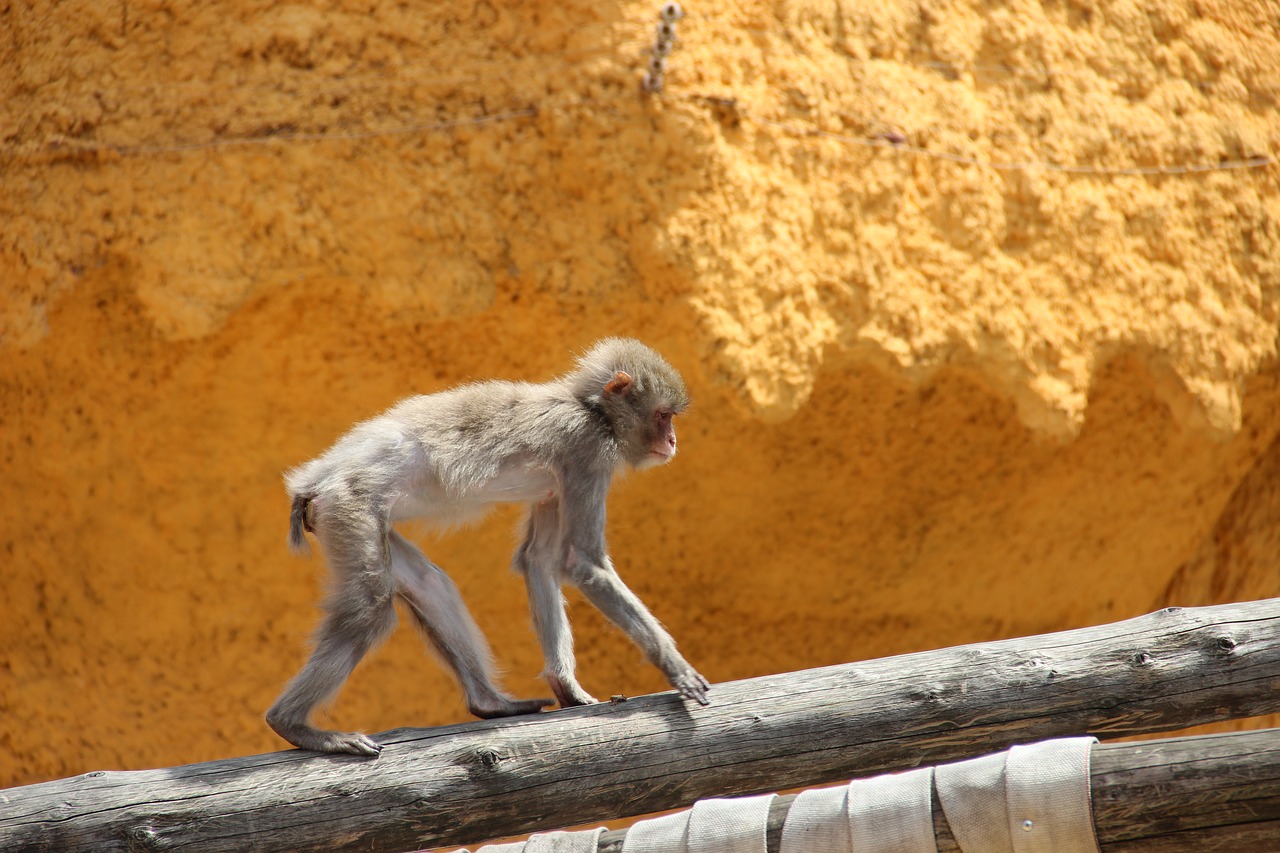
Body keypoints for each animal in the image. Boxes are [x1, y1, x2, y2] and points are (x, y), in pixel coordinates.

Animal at [267, 335, 711, 753]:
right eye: (663, 416)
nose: (673, 441)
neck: (591, 409)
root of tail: (317, 478)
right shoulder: (586, 451)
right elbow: (582, 562)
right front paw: (674, 665)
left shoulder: (557, 484)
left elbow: (538, 560)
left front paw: (565, 685)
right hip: (348, 505)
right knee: (370, 610)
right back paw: (292, 724)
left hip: (354, 518)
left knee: (430, 583)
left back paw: (490, 703)